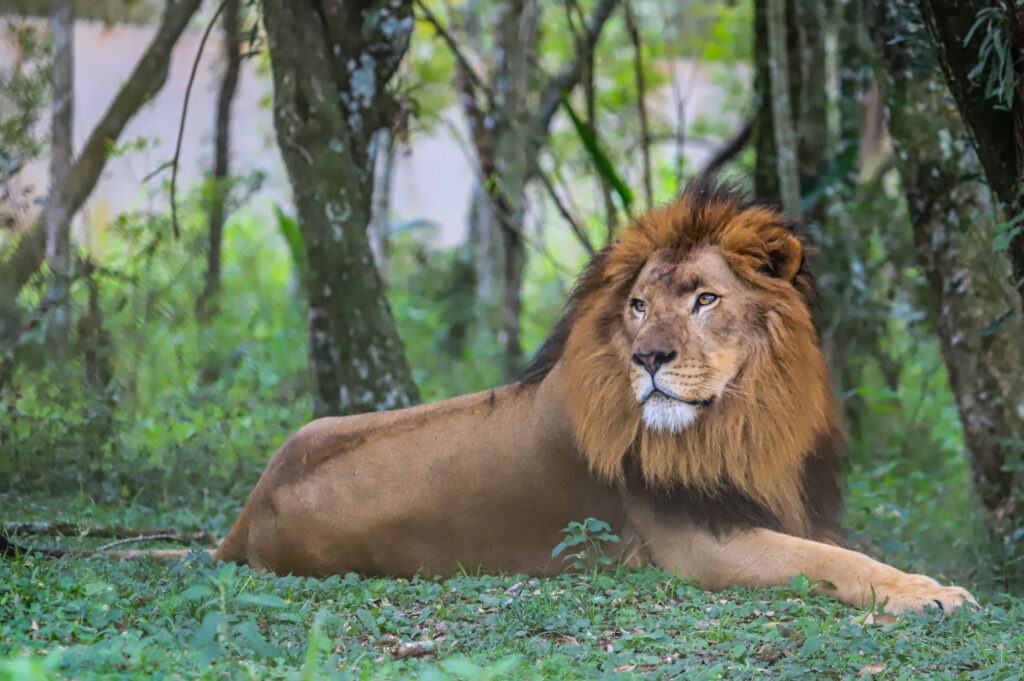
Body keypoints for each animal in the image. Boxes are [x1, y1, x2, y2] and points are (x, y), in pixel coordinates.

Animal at [201, 178, 974, 614]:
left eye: (705, 299)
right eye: (638, 305)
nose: (649, 357)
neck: (744, 416)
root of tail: (244, 519)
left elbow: (846, 549)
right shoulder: (696, 545)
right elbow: (833, 561)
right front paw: (929, 592)